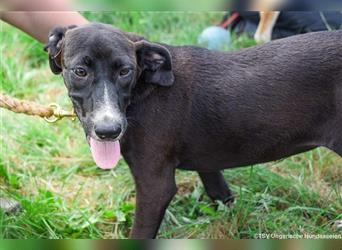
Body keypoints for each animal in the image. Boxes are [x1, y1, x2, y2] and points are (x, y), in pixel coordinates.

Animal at [44, 23, 340, 238]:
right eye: (80, 71)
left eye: (125, 71)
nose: (109, 130)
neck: (145, 87)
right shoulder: (209, 162)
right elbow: (221, 192)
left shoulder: (155, 185)